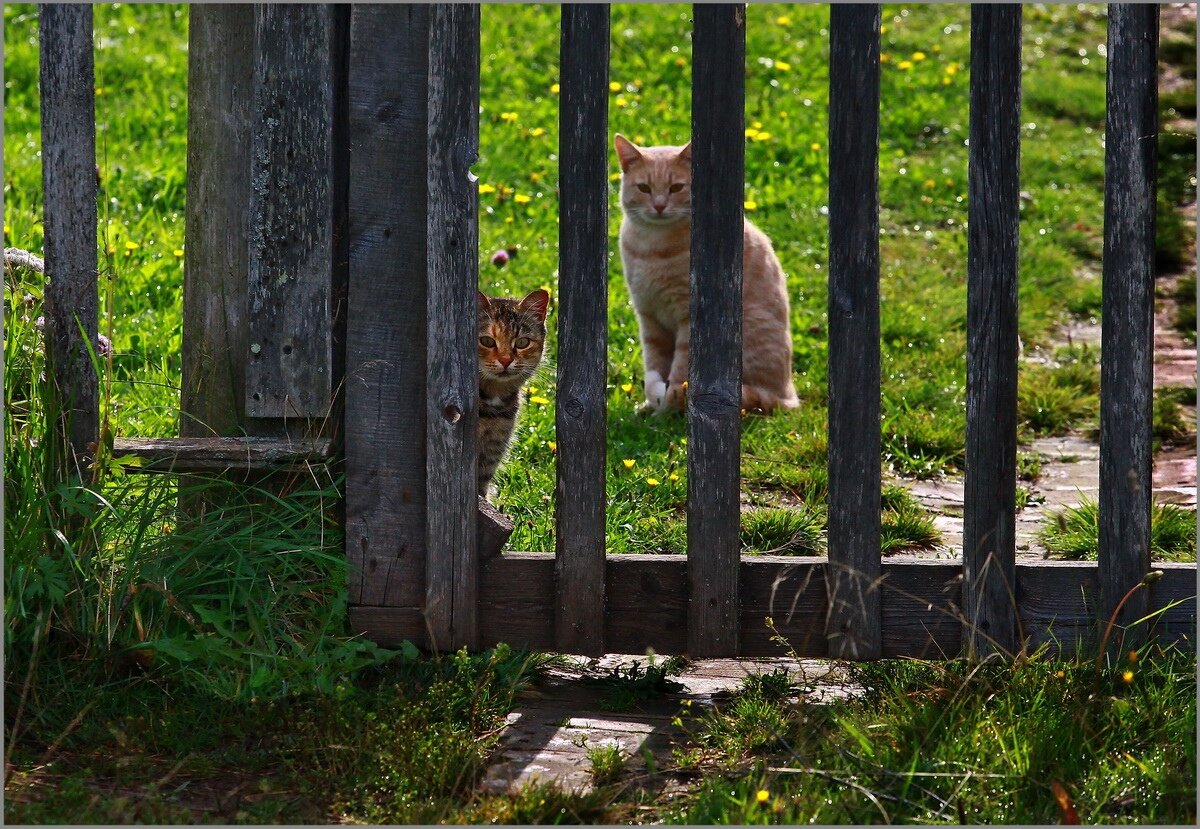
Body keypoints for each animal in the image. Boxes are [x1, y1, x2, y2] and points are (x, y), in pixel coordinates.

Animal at [614, 135, 801, 415]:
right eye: (644, 188)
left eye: (676, 188)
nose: (659, 206)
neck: (651, 247)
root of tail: (788, 395)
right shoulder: (649, 317)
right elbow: (654, 364)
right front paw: (651, 403)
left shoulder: (686, 317)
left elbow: (679, 371)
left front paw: (666, 408)